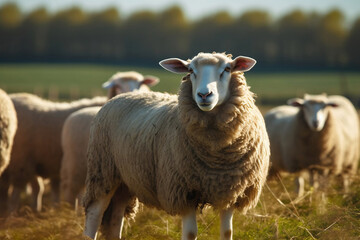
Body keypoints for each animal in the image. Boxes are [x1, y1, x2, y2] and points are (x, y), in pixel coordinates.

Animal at [83, 53, 270, 240]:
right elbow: (190, 233)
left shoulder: (230, 191)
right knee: (94, 213)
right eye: (191, 70)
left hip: (125, 180)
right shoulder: (182, 191)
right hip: (102, 171)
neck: (216, 157)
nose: (204, 95)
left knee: (115, 219)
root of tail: (121, 97)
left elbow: (227, 232)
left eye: (227, 69)